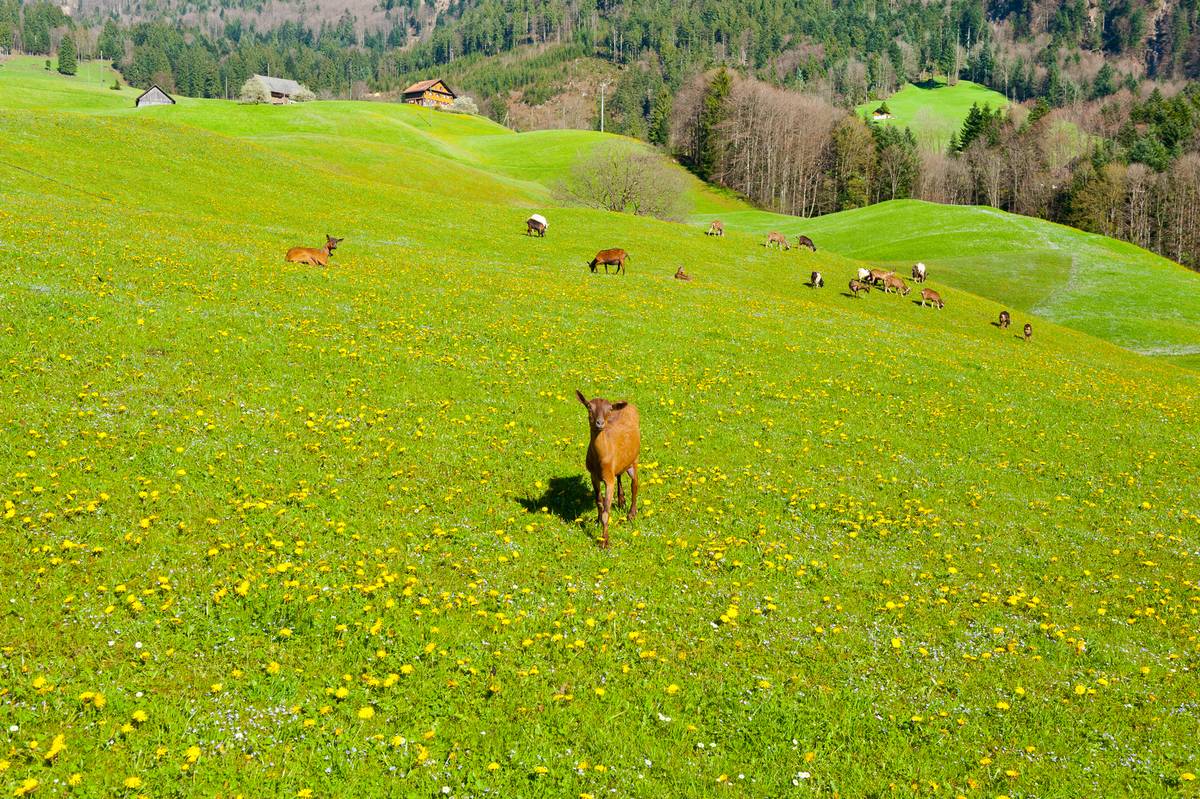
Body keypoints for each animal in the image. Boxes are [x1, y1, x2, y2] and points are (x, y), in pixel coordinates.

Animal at [576, 386, 643, 547]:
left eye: (609, 408)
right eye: (589, 406)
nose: (599, 423)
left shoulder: (608, 480)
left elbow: (607, 512)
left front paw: (604, 541)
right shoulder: (594, 475)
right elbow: (599, 502)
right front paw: (597, 520)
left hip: (635, 458)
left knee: (635, 484)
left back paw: (631, 513)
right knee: (619, 474)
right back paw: (621, 500)